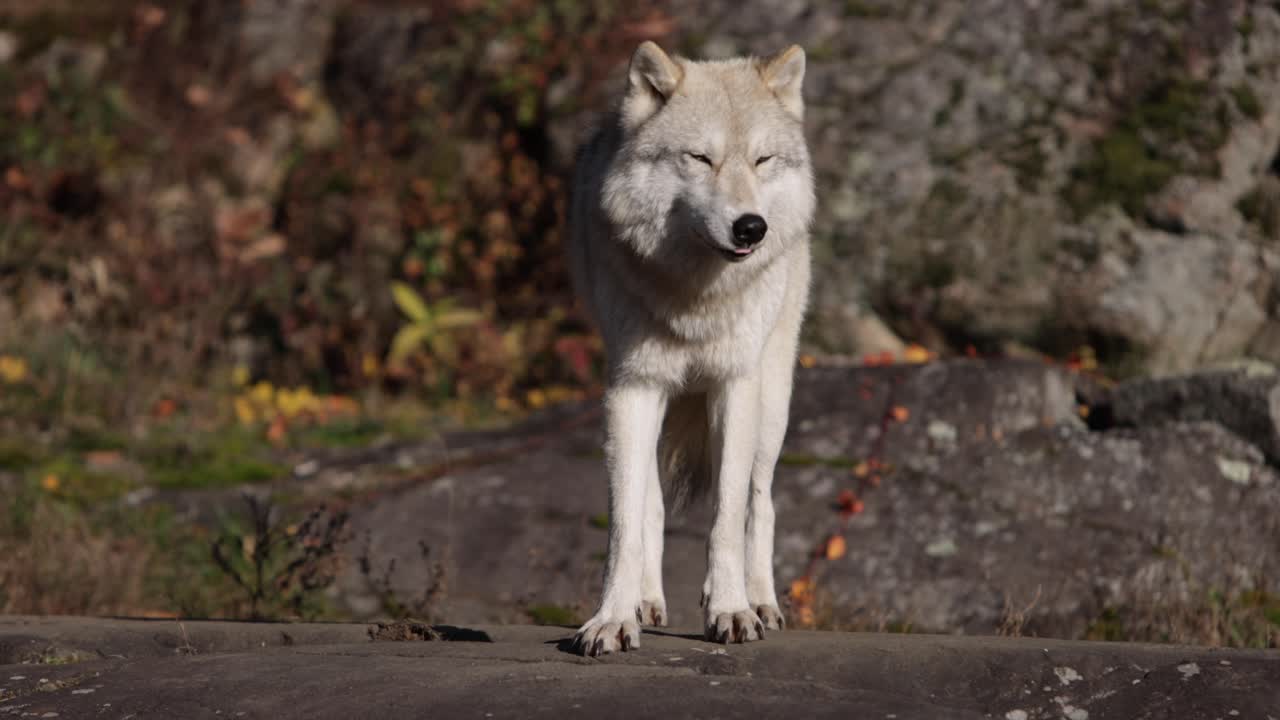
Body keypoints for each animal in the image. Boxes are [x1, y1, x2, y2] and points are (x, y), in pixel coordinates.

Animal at [566, 40, 814, 656]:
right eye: (700, 159)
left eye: (762, 161)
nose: (751, 227)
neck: (696, 302)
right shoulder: (631, 387)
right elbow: (626, 520)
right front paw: (611, 619)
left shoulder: (734, 386)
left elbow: (726, 517)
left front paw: (730, 611)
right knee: (652, 501)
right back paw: (646, 600)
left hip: (772, 405)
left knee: (761, 502)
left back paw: (763, 602)